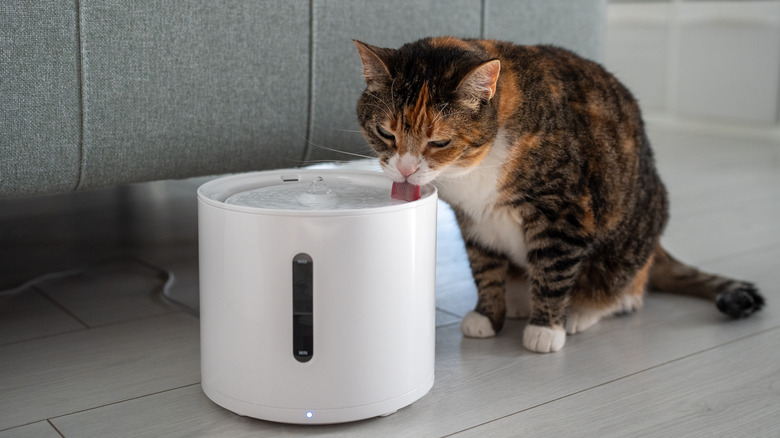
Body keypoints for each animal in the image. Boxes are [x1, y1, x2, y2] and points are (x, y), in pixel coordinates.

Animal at [352, 36, 760, 352]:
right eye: (385, 133)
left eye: (439, 141)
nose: (405, 168)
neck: (472, 169)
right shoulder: (474, 220)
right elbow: (485, 268)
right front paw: (488, 316)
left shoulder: (562, 211)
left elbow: (554, 267)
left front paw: (545, 329)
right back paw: (520, 299)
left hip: (631, 236)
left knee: (623, 290)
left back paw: (580, 311)